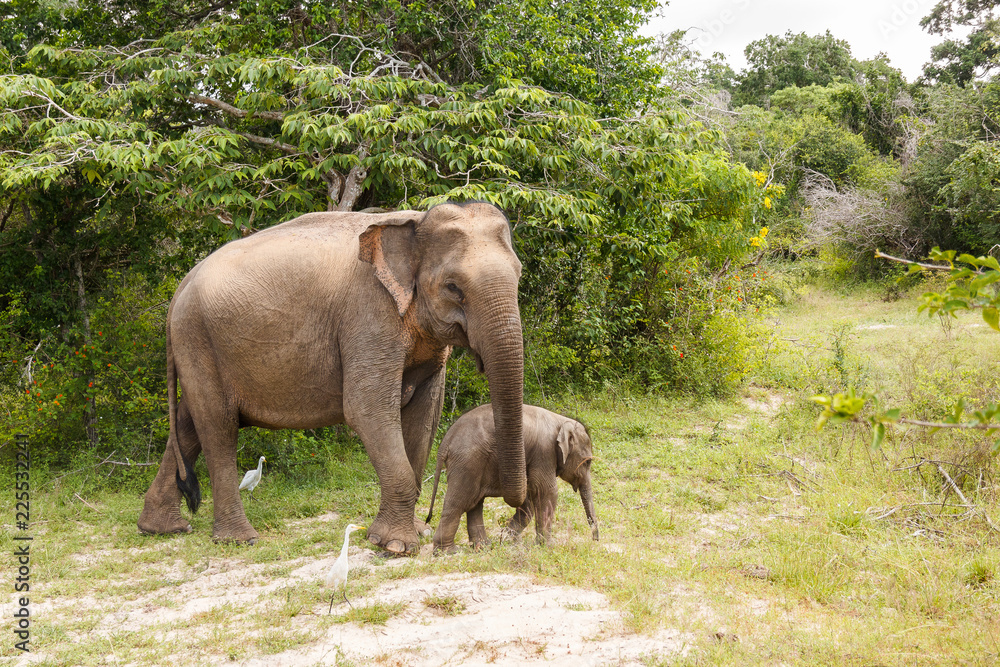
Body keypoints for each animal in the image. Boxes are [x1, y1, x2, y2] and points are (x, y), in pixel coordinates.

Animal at [137, 202, 527, 554]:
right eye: (452, 287)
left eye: (519, 275)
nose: (513, 509)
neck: (415, 220)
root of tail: (180, 287)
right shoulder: (369, 314)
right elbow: (366, 409)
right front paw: (396, 546)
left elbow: (425, 414)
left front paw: (405, 533)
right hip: (198, 338)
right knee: (217, 424)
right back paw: (239, 539)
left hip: (198, 345)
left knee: (189, 422)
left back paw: (162, 529)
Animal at [426, 404, 598, 552]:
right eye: (587, 462)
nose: (595, 540)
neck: (561, 420)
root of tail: (445, 442)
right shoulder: (543, 452)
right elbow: (547, 491)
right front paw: (548, 546)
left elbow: (530, 499)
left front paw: (507, 538)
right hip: (467, 462)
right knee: (459, 503)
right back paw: (449, 552)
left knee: (475, 503)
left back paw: (483, 546)